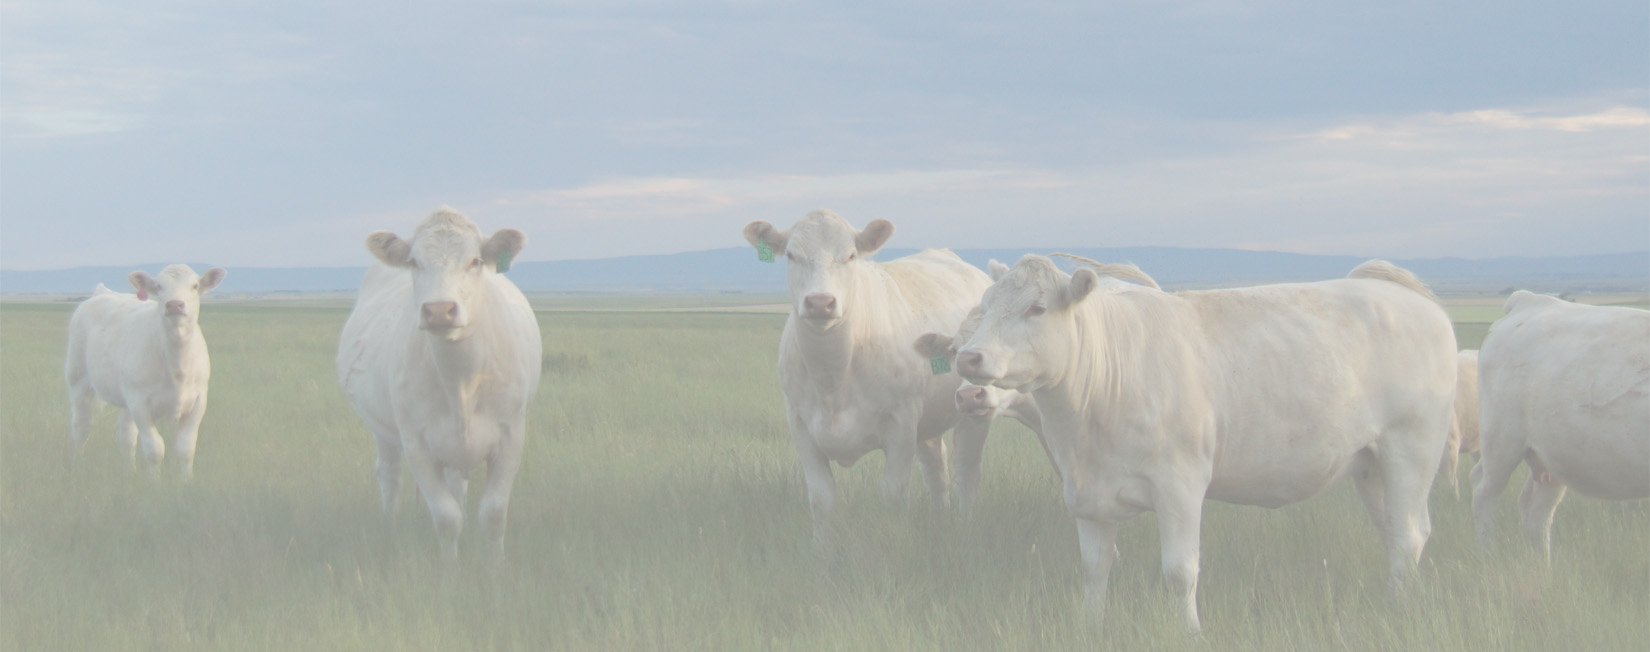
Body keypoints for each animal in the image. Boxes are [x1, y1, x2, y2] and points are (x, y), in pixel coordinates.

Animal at [66, 264, 227, 480]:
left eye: (195, 285)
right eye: (158, 286)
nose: (175, 304)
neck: (177, 367)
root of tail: (104, 293)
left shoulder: (199, 401)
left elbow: (186, 448)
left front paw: (186, 481)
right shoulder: (139, 403)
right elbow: (154, 449)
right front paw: (154, 483)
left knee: (126, 435)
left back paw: (129, 471)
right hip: (78, 381)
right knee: (81, 427)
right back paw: (78, 464)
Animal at [336, 207, 542, 560]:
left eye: (475, 260)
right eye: (414, 261)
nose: (439, 310)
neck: (461, 380)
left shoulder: (511, 437)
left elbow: (493, 514)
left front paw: (494, 566)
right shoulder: (417, 443)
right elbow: (446, 518)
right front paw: (449, 569)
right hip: (383, 431)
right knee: (389, 476)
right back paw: (389, 527)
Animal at [742, 210, 993, 543]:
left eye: (850, 256)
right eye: (792, 255)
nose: (820, 302)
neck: (833, 379)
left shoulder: (901, 423)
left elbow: (894, 494)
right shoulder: (800, 425)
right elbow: (821, 496)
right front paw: (821, 547)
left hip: (973, 408)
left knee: (967, 472)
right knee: (936, 468)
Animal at [955, 256, 1456, 633]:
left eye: (1037, 308)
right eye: (987, 302)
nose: (968, 358)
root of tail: (1409, 296)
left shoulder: (1180, 484)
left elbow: (1180, 570)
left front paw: (1189, 631)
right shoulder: (1088, 494)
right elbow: (1095, 567)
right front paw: (1090, 625)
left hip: (1411, 449)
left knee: (1409, 535)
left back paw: (1401, 610)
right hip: (1371, 464)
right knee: (1393, 533)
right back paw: (1396, 598)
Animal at [1470, 291, 1649, 565]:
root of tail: (1527, 300)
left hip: (1551, 459)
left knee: (1537, 512)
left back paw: (1544, 566)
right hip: (1500, 442)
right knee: (1484, 494)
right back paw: (1489, 557)